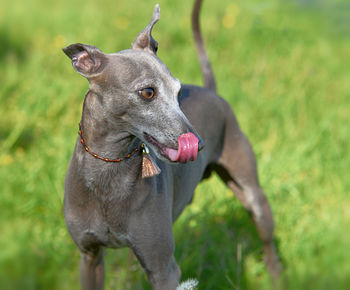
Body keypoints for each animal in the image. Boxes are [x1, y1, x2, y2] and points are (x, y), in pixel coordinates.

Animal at [63, 1, 282, 288]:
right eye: (147, 92)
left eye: (179, 91)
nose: (199, 144)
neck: (109, 170)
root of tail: (213, 92)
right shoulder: (90, 257)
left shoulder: (163, 270)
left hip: (253, 196)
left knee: (268, 245)